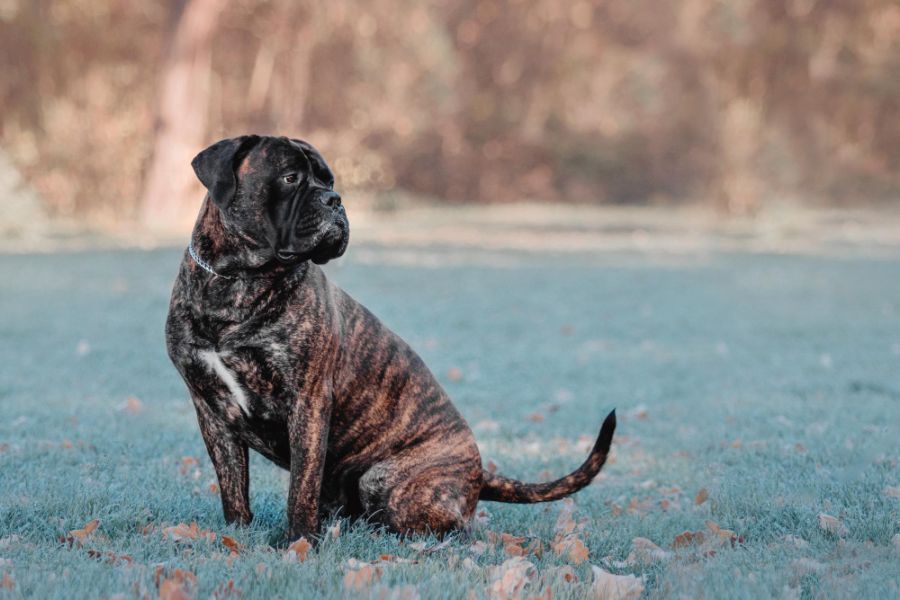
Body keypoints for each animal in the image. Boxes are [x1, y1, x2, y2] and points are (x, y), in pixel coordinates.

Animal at [165, 135, 616, 540]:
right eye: (291, 177)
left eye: (328, 180)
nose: (335, 200)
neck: (238, 279)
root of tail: (479, 471)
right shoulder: (211, 410)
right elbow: (232, 484)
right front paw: (238, 534)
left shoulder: (308, 402)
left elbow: (301, 488)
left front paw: (298, 541)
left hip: (385, 479)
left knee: (451, 527)